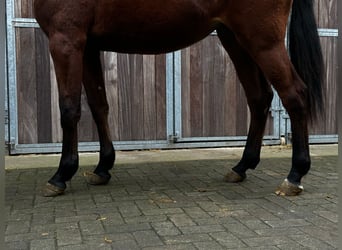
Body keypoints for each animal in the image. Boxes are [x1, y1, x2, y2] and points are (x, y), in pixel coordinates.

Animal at [34, 0, 324, 197]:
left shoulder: (66, 40)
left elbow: (69, 109)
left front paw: (61, 175)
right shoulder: (88, 46)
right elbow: (98, 105)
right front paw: (102, 167)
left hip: (263, 40)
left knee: (294, 95)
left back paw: (294, 176)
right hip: (235, 38)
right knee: (259, 97)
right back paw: (241, 166)